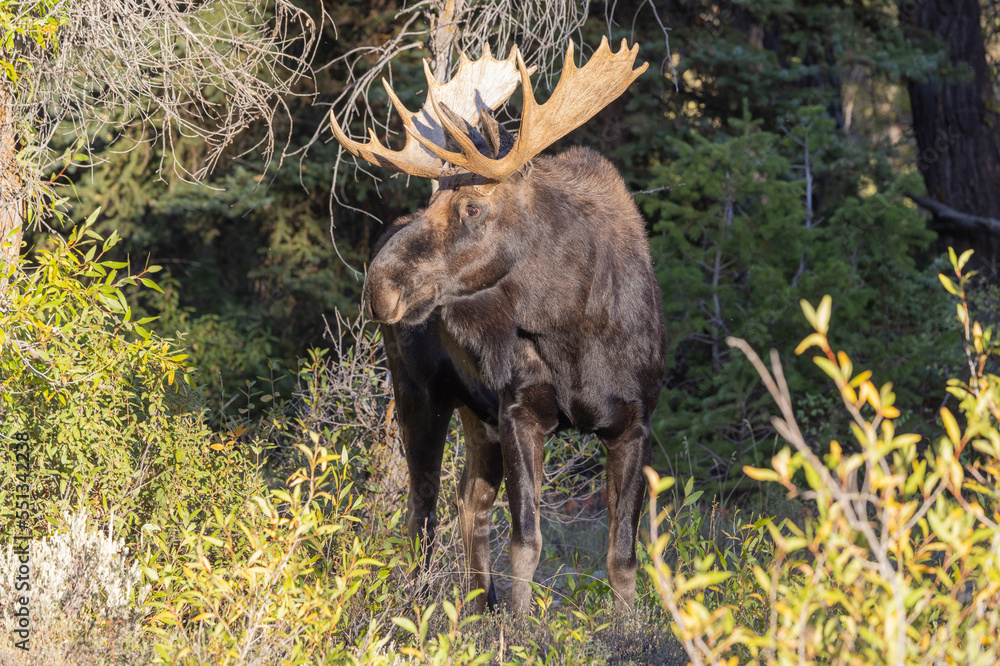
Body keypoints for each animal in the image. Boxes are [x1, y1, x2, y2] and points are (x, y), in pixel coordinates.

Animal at [332, 37, 668, 612]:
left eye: (471, 206)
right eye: (433, 196)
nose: (379, 285)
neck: (573, 328)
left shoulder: (634, 421)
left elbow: (622, 556)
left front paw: (626, 625)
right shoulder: (519, 411)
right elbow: (526, 542)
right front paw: (521, 623)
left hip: (476, 411)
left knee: (469, 499)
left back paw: (476, 605)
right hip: (420, 391)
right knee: (423, 505)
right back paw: (421, 605)